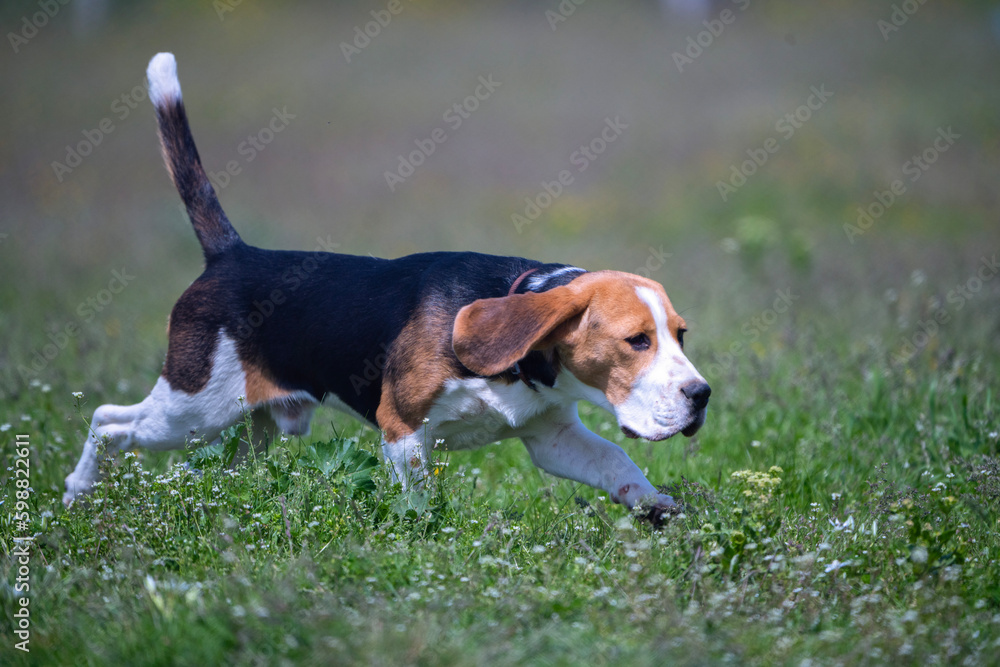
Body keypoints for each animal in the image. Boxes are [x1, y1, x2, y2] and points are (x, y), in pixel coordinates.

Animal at [60, 53, 712, 520]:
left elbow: (616, 460)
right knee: (108, 422)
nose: (702, 395)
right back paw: (74, 495)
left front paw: (659, 507)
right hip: (191, 409)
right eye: (636, 341)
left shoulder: (552, 436)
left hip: (247, 430)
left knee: (199, 470)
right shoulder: (402, 428)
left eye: (680, 335)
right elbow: (422, 498)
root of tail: (233, 254)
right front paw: (426, 536)